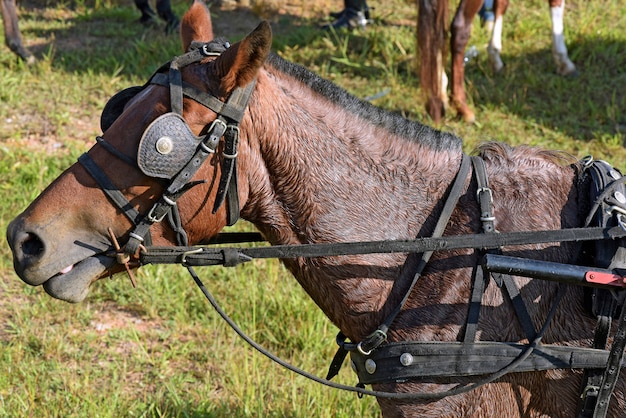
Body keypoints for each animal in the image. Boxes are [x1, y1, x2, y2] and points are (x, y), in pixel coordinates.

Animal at [420, 0, 576, 124]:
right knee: (459, 28)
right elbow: (556, 3)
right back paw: (462, 108)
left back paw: (439, 94)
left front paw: (494, 55)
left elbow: (501, 4)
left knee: (437, 29)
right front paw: (563, 60)